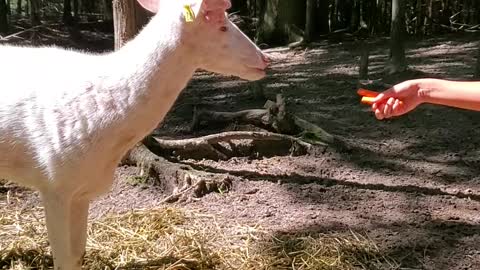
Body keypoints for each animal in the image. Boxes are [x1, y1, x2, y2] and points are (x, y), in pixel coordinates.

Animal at [0, 0, 270, 268]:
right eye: (222, 26)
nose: (265, 59)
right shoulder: (53, 182)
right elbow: (64, 258)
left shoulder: (80, 190)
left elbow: (78, 254)